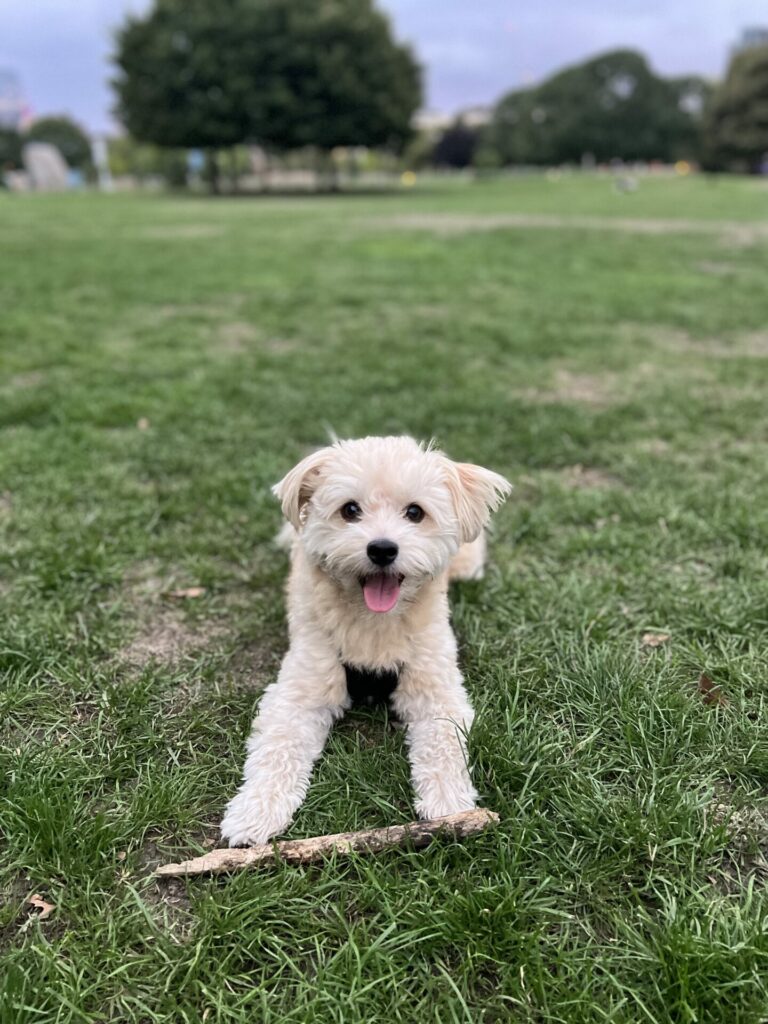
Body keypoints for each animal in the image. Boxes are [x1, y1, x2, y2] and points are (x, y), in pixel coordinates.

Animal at [221, 436, 512, 843]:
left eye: (415, 512)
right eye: (350, 509)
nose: (382, 549)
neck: (375, 623)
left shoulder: (435, 690)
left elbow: (443, 744)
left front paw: (449, 804)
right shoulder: (300, 692)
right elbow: (278, 749)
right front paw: (255, 811)